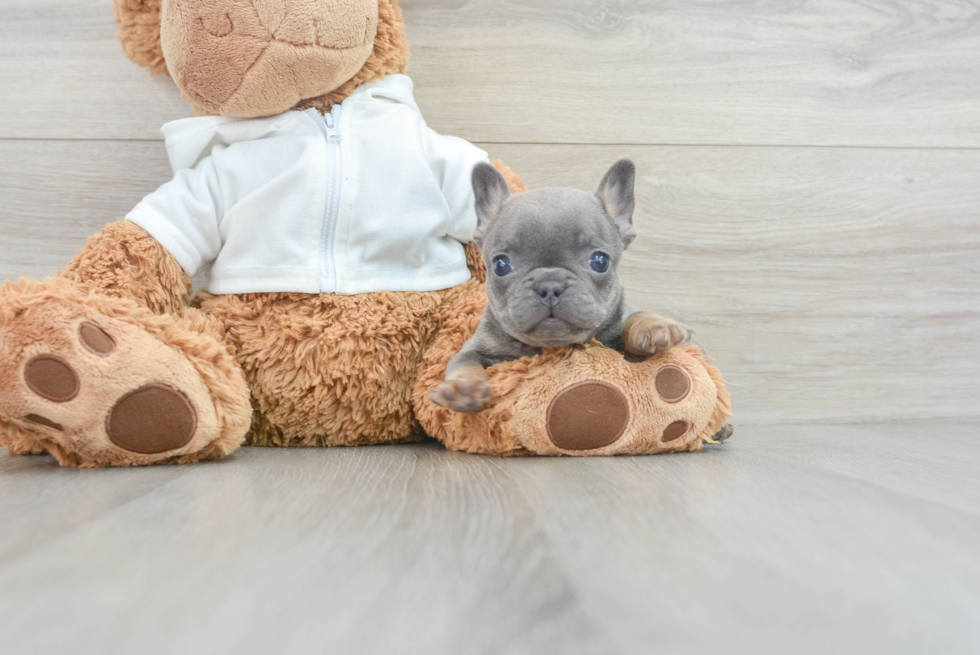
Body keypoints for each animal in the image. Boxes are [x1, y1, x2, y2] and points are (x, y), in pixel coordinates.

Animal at [428, 160, 696, 416]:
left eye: (600, 261)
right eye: (501, 265)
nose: (550, 286)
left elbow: (635, 318)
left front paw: (654, 326)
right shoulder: (476, 347)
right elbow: (464, 362)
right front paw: (463, 388)